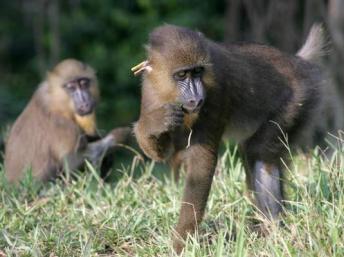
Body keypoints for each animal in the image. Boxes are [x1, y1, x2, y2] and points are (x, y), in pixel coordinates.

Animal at [132, 24, 328, 252]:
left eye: (197, 72)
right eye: (182, 75)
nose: (197, 97)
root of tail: (299, 62)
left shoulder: (216, 91)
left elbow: (202, 162)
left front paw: (181, 244)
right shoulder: (149, 91)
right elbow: (165, 153)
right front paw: (153, 124)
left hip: (297, 102)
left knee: (259, 154)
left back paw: (273, 228)